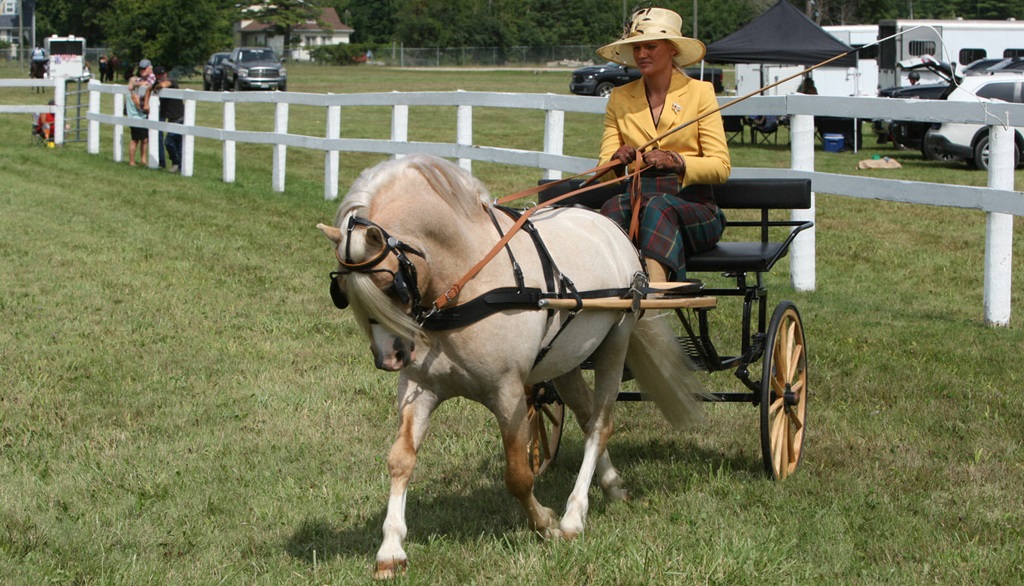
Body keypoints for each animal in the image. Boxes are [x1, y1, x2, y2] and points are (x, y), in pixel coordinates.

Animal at [316, 154, 706, 579]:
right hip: (565, 361)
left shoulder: (508, 392)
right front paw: (390, 549)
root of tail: (614, 230)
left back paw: (574, 515)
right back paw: (612, 484)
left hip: (615, 344)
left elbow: (518, 475)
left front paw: (545, 523)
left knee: (600, 425)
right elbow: (400, 459)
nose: (389, 358)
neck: (467, 280)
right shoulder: (420, 388)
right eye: (342, 293)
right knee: (587, 417)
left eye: (390, 285)